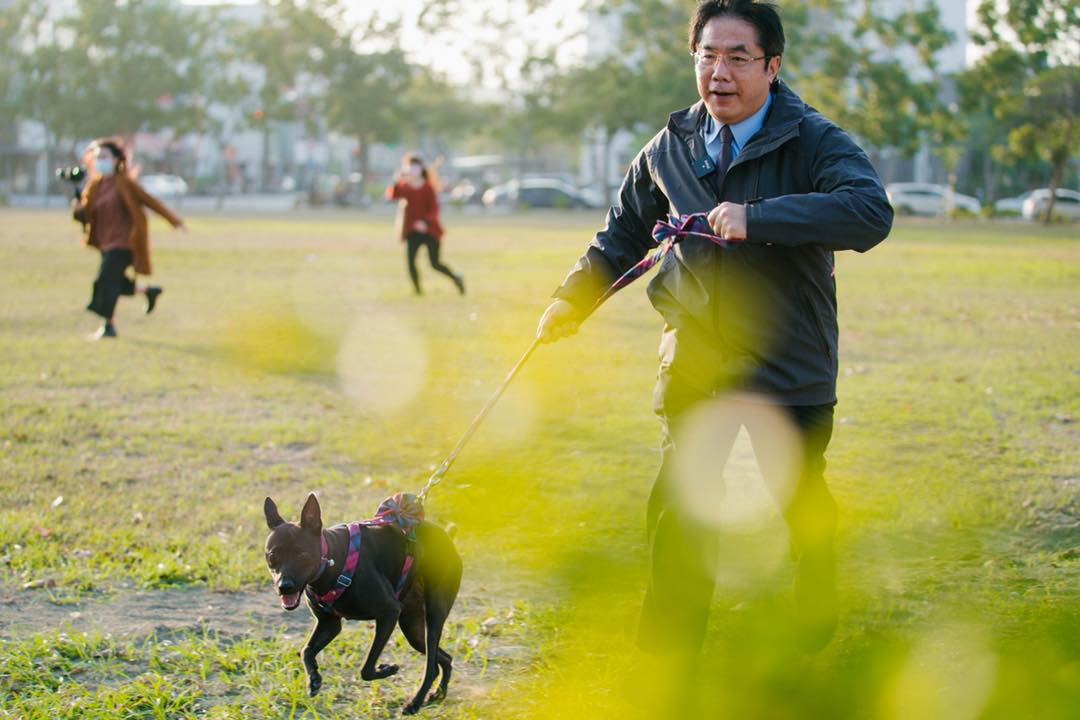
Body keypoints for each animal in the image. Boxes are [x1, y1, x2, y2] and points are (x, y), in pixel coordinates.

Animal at [266, 492, 464, 712]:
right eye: (272, 556)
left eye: (302, 555)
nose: (285, 586)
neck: (332, 560)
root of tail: (448, 539)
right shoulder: (329, 624)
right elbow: (306, 651)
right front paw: (314, 678)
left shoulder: (389, 613)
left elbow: (366, 669)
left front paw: (387, 668)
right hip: (412, 627)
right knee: (444, 658)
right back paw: (439, 693)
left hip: (433, 614)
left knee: (431, 666)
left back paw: (415, 702)